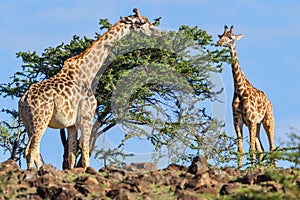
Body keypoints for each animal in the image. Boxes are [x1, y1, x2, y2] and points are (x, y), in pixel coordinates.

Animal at [18, 8, 162, 170]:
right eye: (142, 22)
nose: (159, 34)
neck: (88, 72)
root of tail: (23, 100)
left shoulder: (72, 124)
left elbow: (72, 156)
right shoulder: (87, 116)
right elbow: (85, 153)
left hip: (28, 123)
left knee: (31, 150)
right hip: (41, 119)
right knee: (32, 150)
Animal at [217, 25, 276, 168]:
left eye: (230, 37)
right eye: (221, 35)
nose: (219, 42)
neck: (239, 90)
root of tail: (269, 102)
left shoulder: (251, 120)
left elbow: (251, 150)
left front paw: (250, 170)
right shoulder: (238, 121)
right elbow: (241, 150)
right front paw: (240, 169)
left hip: (268, 120)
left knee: (272, 147)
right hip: (258, 125)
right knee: (262, 149)